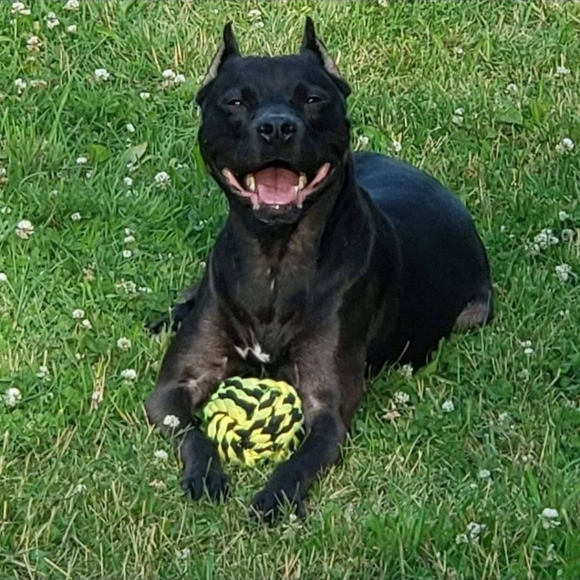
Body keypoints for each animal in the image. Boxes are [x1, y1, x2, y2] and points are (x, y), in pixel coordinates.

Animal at [145, 18, 493, 522]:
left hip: (474, 313)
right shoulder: (174, 387)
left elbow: (304, 457)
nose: (276, 127)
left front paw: (275, 497)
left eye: (312, 98)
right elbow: (193, 434)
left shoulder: (326, 406)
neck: (274, 258)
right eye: (235, 101)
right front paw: (206, 476)